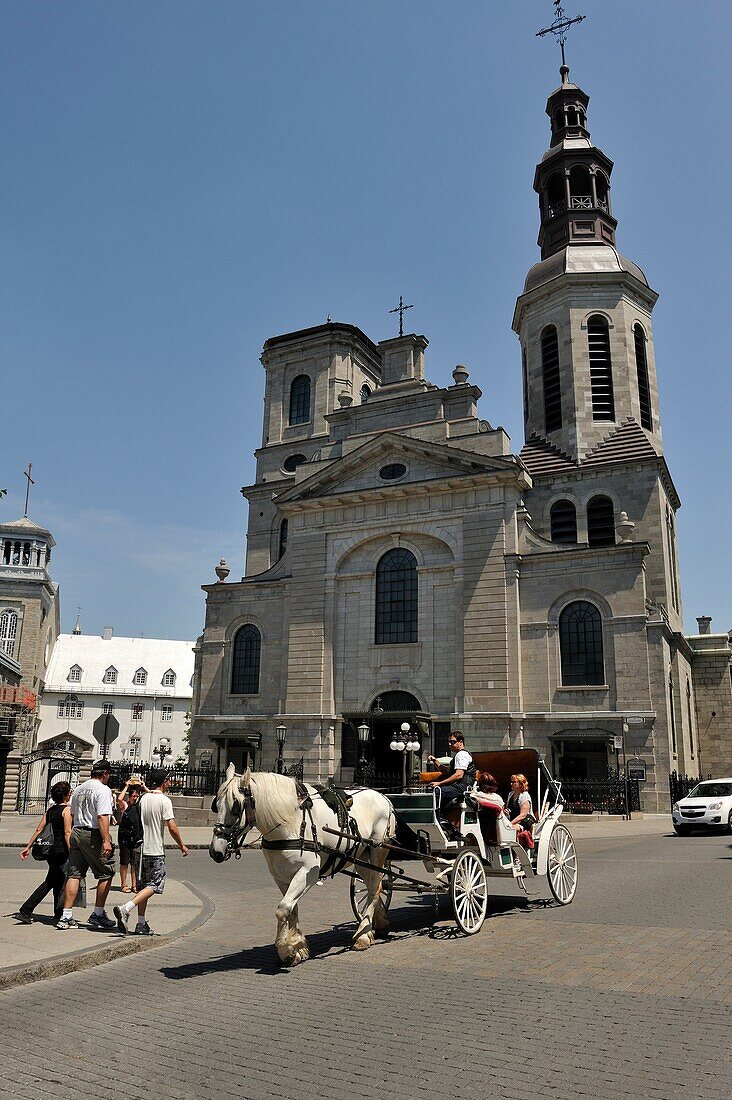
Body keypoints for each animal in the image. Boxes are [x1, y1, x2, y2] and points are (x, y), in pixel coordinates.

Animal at [208, 770, 396, 968]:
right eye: (216, 805)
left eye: (236, 808)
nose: (215, 851)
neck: (291, 822)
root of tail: (384, 797)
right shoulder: (281, 876)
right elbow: (292, 908)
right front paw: (297, 946)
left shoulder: (308, 873)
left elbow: (283, 909)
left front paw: (286, 950)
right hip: (361, 858)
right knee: (375, 887)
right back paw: (379, 922)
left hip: (377, 851)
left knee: (374, 888)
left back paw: (363, 936)